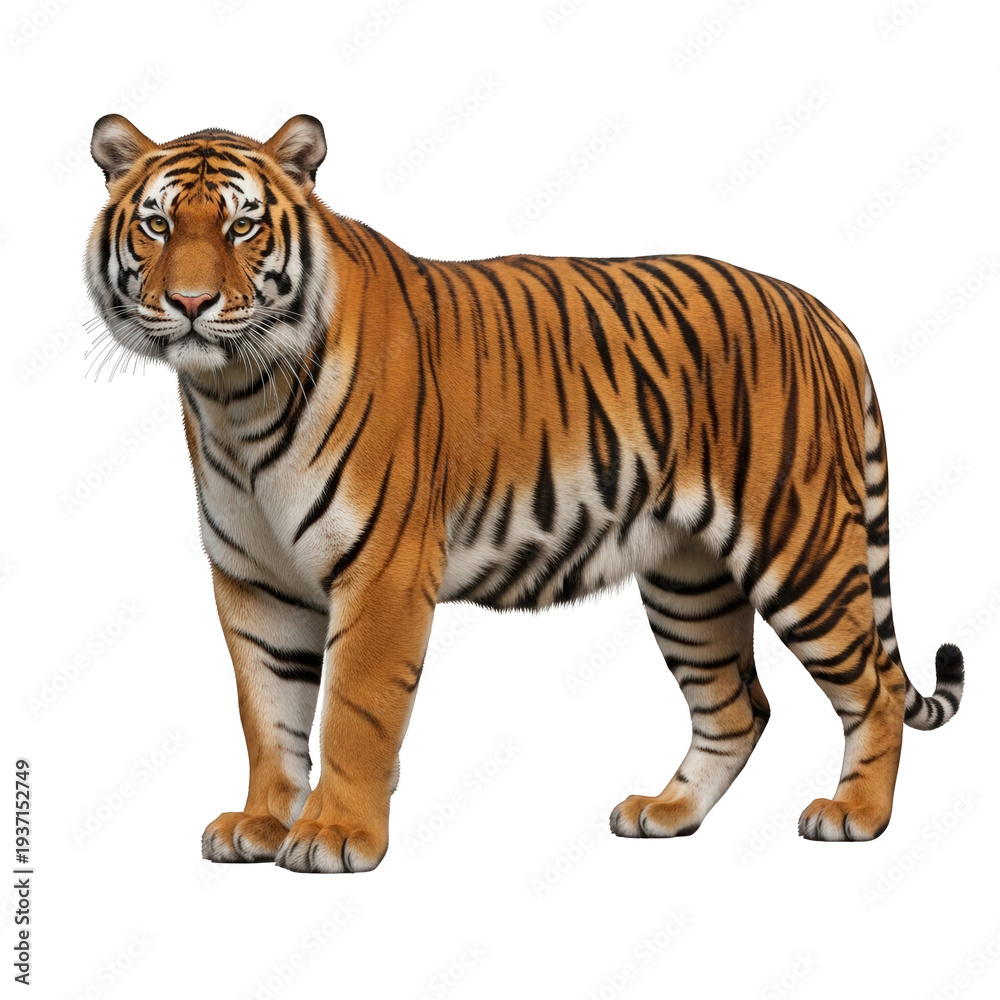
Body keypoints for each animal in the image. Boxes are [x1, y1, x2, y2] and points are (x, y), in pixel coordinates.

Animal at [85, 113, 965, 873]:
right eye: (157, 225)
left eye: (242, 227)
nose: (190, 305)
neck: (235, 396)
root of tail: (822, 314)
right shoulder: (254, 581)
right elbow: (268, 714)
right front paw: (263, 823)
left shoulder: (383, 574)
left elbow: (352, 714)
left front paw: (335, 835)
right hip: (688, 578)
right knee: (737, 707)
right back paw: (666, 812)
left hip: (800, 549)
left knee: (876, 689)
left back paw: (855, 816)